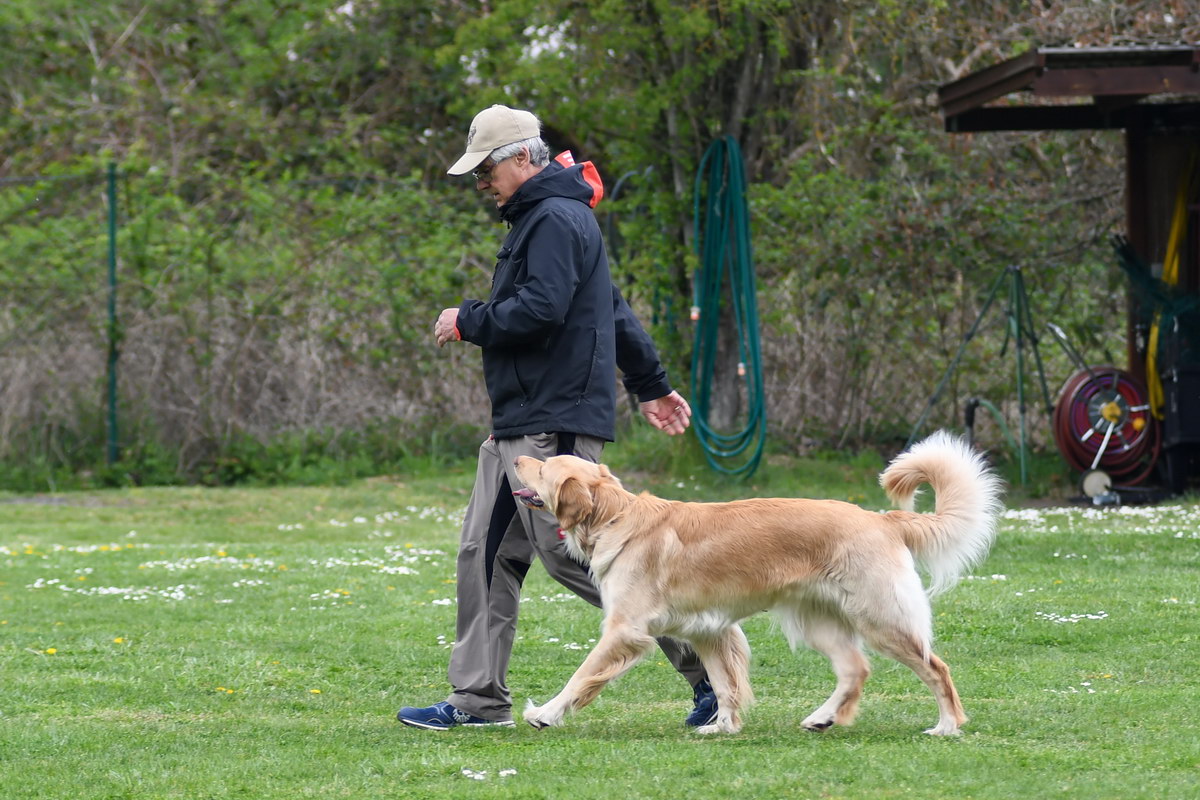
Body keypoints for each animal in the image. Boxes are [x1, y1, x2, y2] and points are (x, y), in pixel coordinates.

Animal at [511, 431, 1008, 738]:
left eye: (544, 467)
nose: (513, 455)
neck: (616, 516)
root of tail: (881, 518)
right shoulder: (707, 630)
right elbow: (724, 683)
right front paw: (722, 726)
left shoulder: (624, 630)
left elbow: (581, 675)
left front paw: (545, 714)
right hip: (819, 622)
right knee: (855, 670)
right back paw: (822, 719)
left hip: (882, 618)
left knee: (935, 668)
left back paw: (947, 725)